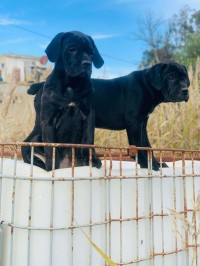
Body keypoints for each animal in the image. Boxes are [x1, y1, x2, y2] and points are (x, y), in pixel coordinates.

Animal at [21, 30, 104, 170]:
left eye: (91, 53)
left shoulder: (89, 114)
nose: (87, 63)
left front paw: (91, 160)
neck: (72, 83)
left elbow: (88, 140)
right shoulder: (48, 120)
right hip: (33, 141)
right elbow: (51, 147)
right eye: (72, 49)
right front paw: (52, 168)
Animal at [23, 59, 189, 170]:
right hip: (43, 121)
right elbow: (138, 146)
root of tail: (41, 83)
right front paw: (147, 165)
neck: (147, 84)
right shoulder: (134, 123)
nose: (185, 90)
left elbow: (147, 145)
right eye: (171, 77)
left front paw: (155, 163)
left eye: (185, 78)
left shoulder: (142, 124)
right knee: (29, 141)